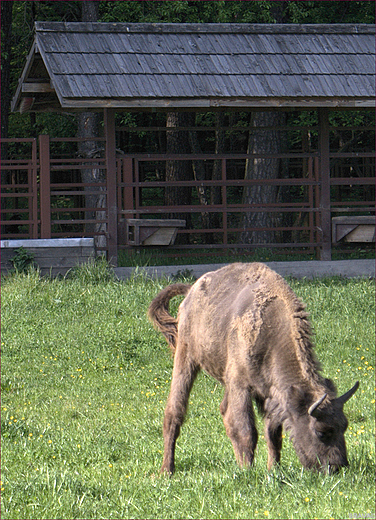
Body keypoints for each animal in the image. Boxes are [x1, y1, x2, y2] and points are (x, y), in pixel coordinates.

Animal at [147, 264, 358, 476]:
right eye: (321, 431)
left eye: (345, 425)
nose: (338, 467)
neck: (273, 331)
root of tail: (191, 291)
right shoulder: (241, 385)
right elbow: (247, 431)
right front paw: (248, 472)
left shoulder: (269, 394)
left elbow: (273, 434)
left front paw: (273, 470)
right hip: (185, 356)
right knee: (175, 412)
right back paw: (167, 470)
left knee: (224, 411)